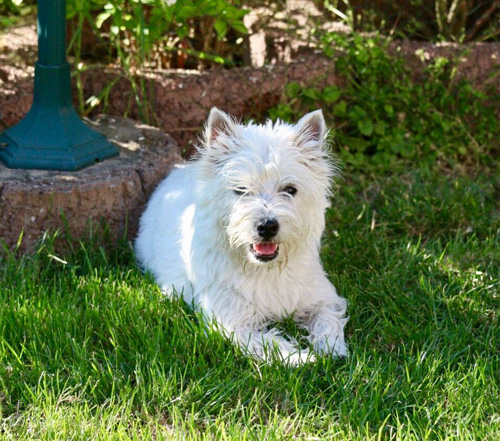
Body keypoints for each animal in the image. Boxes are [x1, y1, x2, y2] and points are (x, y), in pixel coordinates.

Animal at [135, 108, 350, 362]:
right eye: (241, 189)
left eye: (290, 189)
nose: (267, 226)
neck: (265, 271)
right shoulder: (232, 323)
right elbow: (272, 343)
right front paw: (302, 359)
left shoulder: (322, 298)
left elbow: (327, 320)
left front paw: (332, 348)